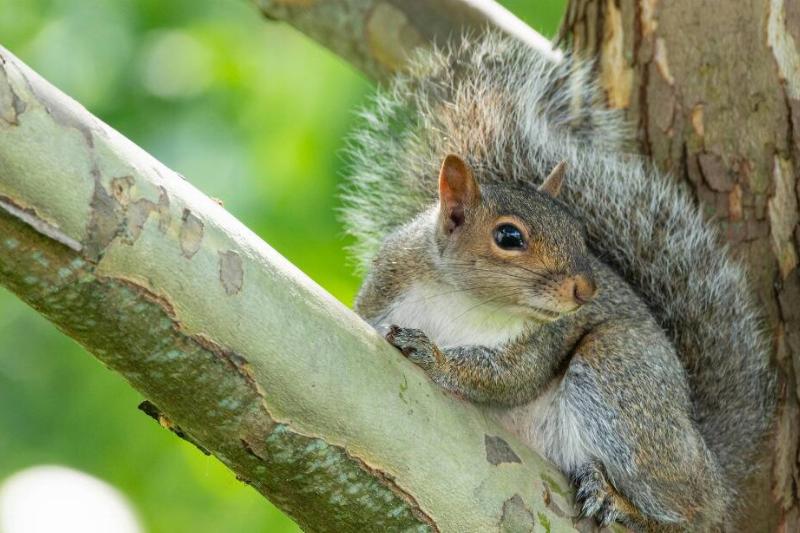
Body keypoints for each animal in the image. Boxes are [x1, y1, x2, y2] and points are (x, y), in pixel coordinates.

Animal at [342, 34, 775, 531]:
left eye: (578, 231)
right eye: (508, 237)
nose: (587, 290)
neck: (461, 299)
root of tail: (713, 468)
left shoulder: (543, 340)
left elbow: (508, 378)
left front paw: (433, 355)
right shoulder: (387, 284)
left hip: (620, 373)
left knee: (690, 515)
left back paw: (623, 505)